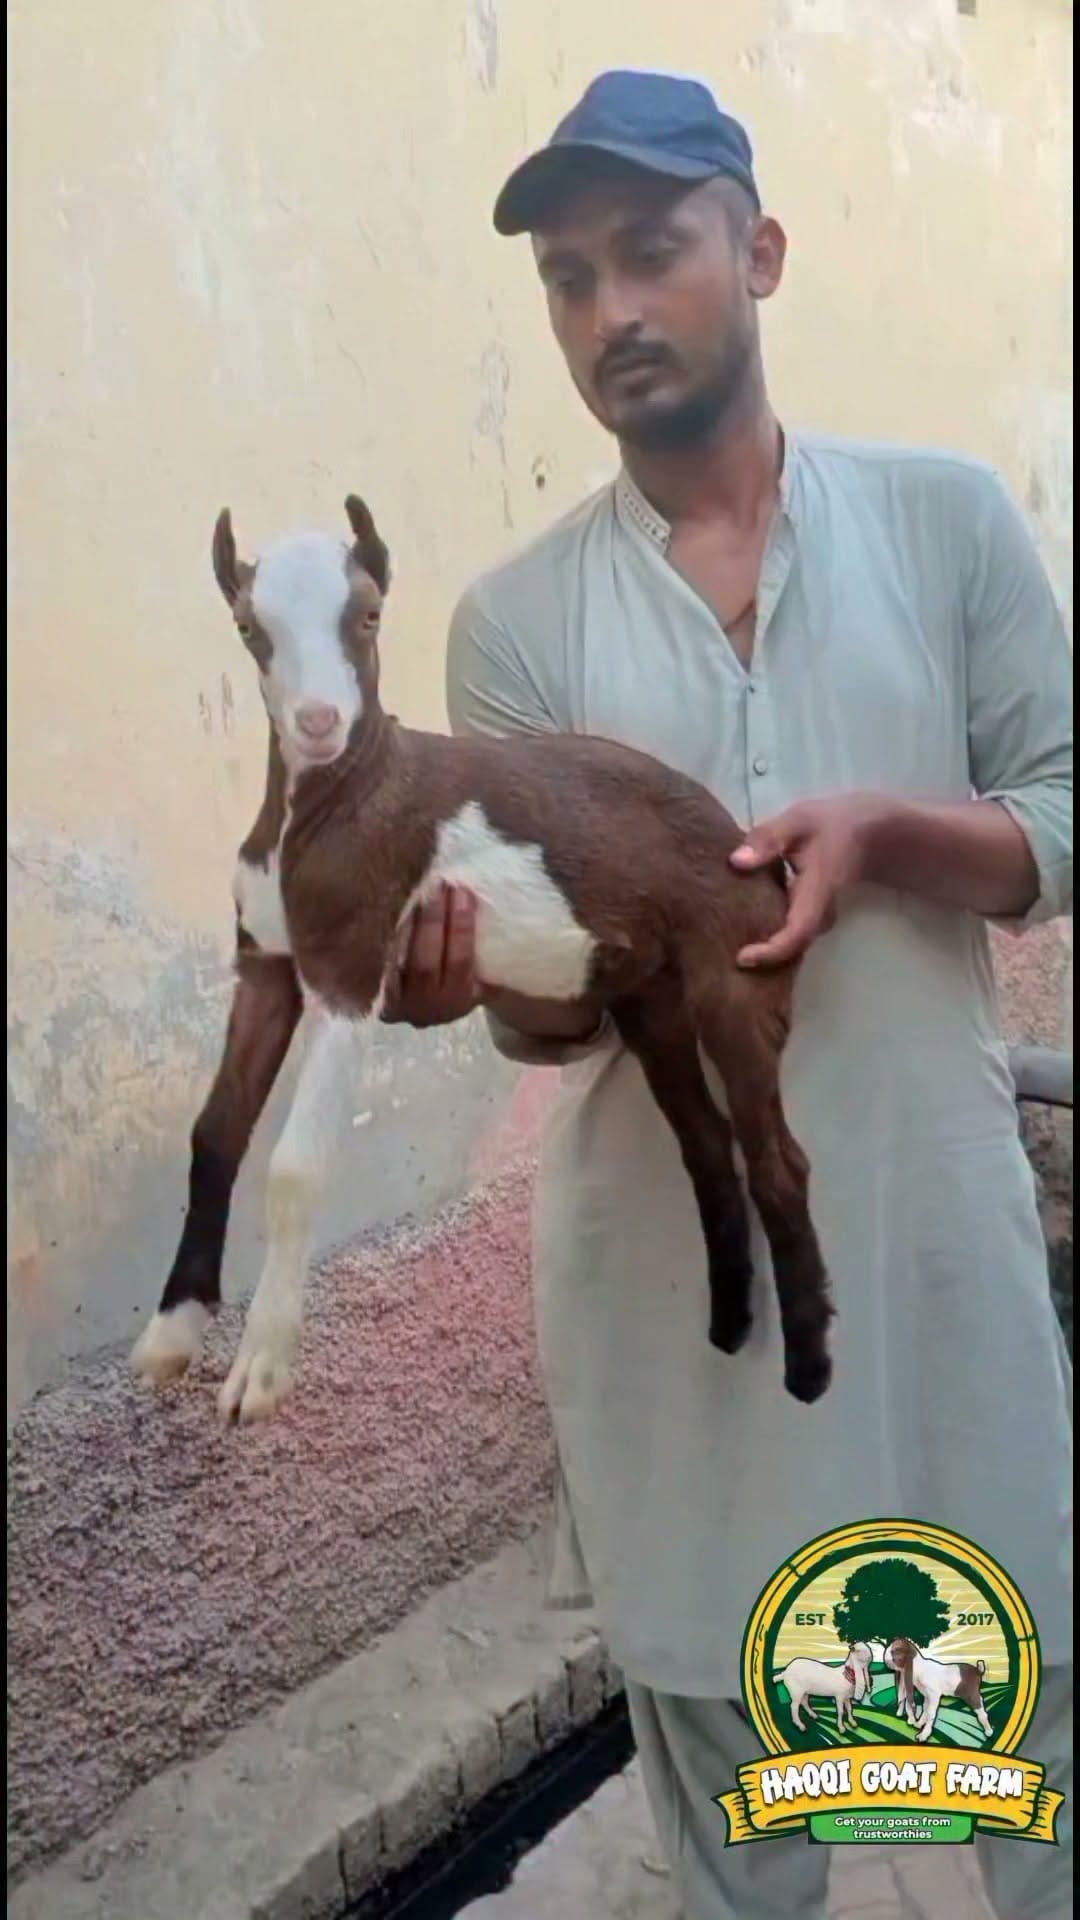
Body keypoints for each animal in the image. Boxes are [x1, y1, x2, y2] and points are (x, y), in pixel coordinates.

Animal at [131, 494, 833, 1423]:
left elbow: (294, 1167)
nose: (318, 723)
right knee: (708, 1141)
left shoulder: (350, 965)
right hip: (652, 995)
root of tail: (751, 848)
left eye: (368, 616)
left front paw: (261, 1369)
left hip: (736, 969)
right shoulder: (267, 963)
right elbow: (215, 1130)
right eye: (250, 627)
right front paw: (171, 1332)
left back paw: (809, 1364)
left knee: (777, 1158)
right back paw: (728, 1316)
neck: (337, 797)